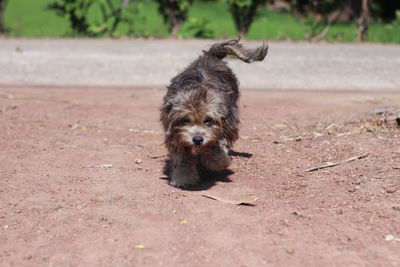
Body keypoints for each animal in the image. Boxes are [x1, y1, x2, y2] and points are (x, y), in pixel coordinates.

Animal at [160, 39, 268, 188]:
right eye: (186, 120)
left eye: (208, 120)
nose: (197, 140)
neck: (198, 91)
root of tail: (209, 56)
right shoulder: (173, 132)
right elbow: (182, 156)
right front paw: (183, 176)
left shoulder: (227, 125)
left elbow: (217, 146)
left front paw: (216, 161)